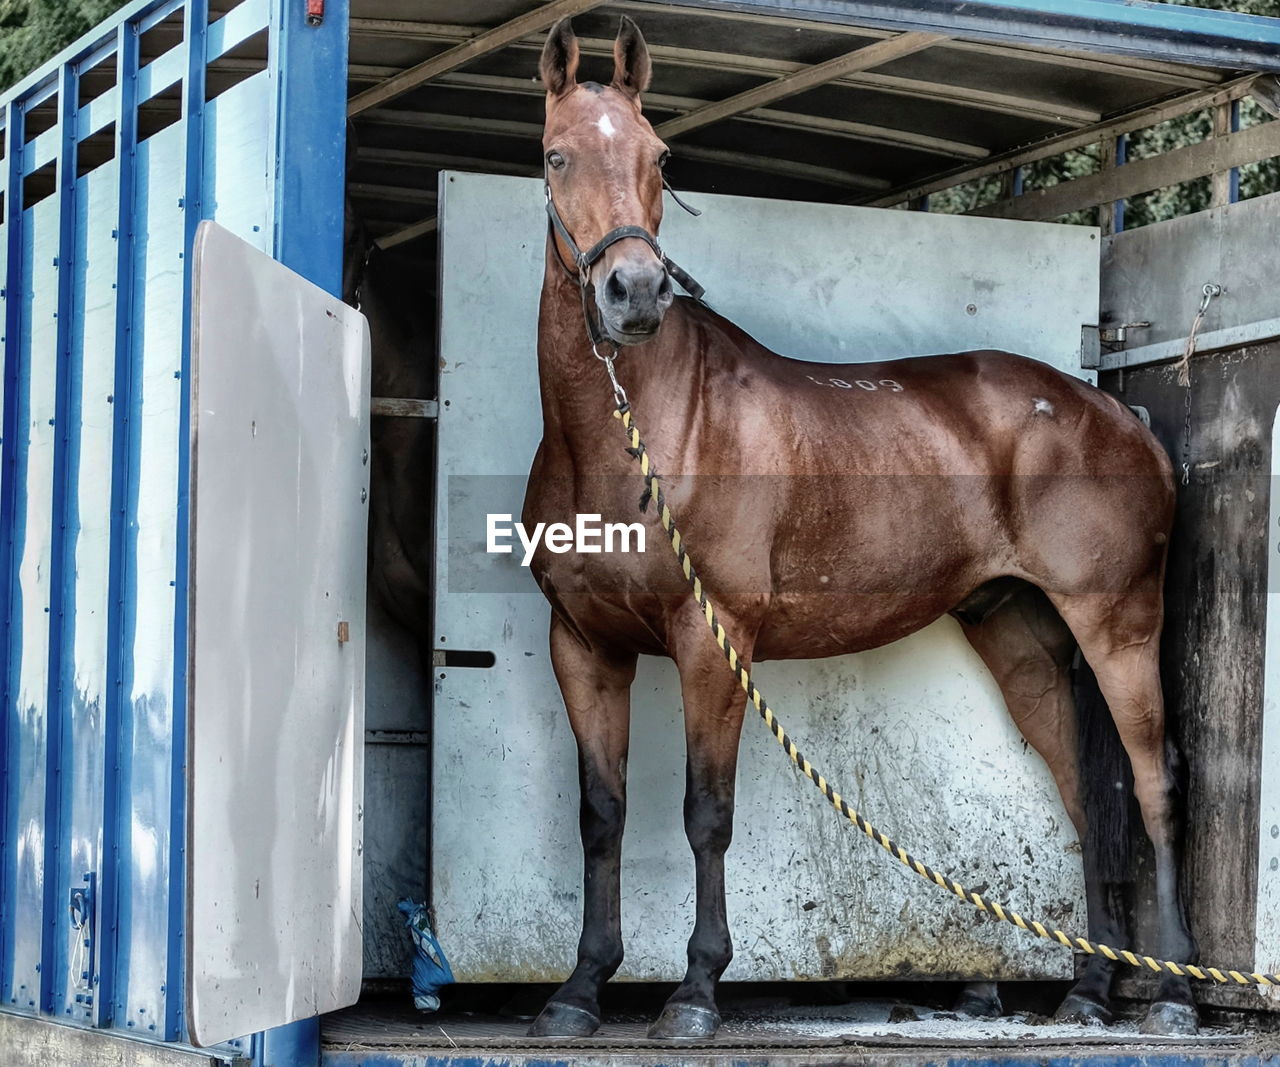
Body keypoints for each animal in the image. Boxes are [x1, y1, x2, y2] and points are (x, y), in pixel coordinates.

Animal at [522, 18, 1198, 1038]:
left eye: (658, 156)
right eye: (556, 154)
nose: (633, 294)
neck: (638, 429)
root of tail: (1122, 416)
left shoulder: (712, 641)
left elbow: (705, 812)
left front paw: (695, 991)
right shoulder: (584, 644)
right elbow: (601, 813)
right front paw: (577, 990)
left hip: (1118, 625)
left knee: (1156, 783)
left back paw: (1178, 995)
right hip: (1024, 637)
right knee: (1087, 796)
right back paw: (1087, 989)